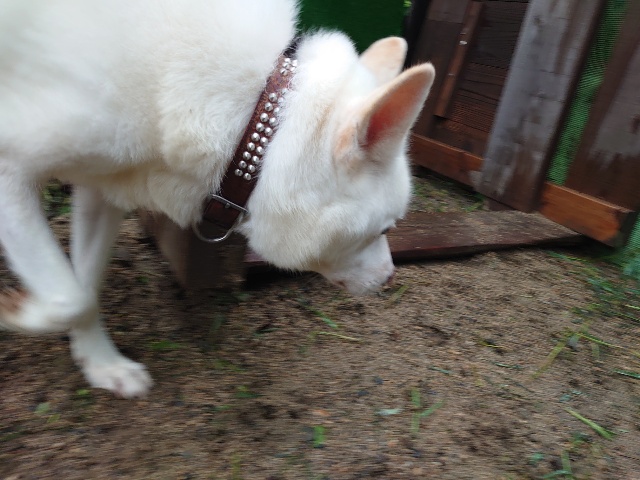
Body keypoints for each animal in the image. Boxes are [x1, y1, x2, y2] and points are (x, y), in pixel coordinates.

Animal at [0, 0, 435, 397]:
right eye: (387, 228)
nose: (390, 278)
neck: (253, 116)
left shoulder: (103, 185)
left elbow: (85, 289)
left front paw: (101, 364)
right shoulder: (10, 169)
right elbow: (68, 297)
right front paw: (17, 312)